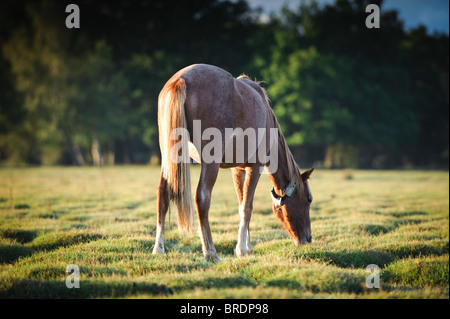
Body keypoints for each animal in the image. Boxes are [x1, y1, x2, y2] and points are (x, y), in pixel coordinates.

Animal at [153, 64, 314, 262]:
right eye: (308, 200)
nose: (308, 238)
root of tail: (181, 80)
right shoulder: (255, 167)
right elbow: (247, 207)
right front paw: (241, 249)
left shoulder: (238, 170)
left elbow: (241, 203)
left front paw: (248, 247)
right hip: (210, 163)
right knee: (202, 198)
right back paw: (211, 253)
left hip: (169, 159)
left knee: (162, 194)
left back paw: (159, 248)